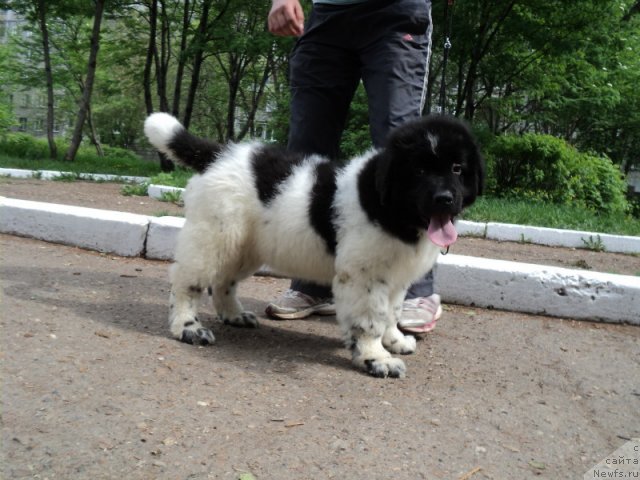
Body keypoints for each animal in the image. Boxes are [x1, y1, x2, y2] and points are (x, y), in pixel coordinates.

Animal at [145, 113, 482, 378]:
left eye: (457, 168)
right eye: (419, 171)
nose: (445, 199)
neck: (390, 207)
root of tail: (219, 154)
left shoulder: (396, 278)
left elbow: (392, 312)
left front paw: (394, 340)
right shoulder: (364, 277)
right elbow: (370, 320)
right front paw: (376, 358)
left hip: (242, 247)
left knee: (223, 281)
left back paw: (234, 315)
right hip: (213, 237)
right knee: (187, 284)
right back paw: (188, 328)